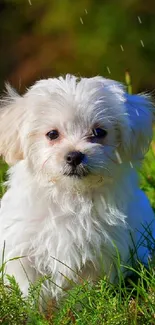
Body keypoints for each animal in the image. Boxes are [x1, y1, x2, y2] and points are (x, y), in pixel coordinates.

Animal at [0, 75, 154, 298]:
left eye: (99, 132)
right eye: (52, 134)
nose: (74, 156)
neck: (71, 195)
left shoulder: (100, 256)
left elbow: (87, 291)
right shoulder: (23, 251)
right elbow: (27, 288)